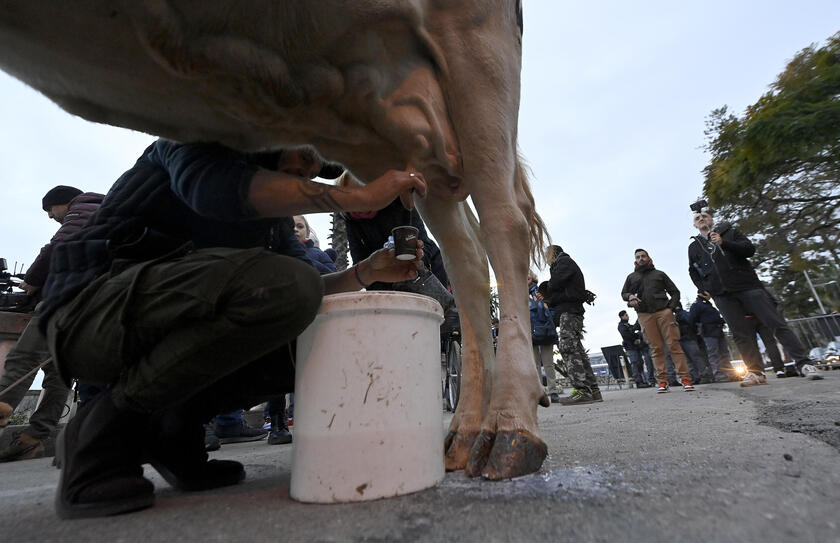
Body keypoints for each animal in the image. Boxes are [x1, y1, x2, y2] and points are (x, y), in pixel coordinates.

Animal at [1, 0, 552, 478]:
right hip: (418, 132)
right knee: (466, 259)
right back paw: (466, 434)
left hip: (474, 46)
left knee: (503, 224)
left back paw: (508, 431)